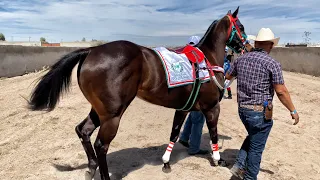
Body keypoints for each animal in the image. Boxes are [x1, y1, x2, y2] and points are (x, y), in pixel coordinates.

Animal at [28, 6, 248, 179]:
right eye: (242, 27)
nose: (248, 47)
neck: (206, 60)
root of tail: (90, 51)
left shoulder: (183, 109)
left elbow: (174, 133)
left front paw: (166, 163)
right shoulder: (212, 108)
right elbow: (214, 133)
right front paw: (218, 159)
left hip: (99, 111)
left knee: (83, 131)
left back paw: (91, 168)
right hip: (113, 115)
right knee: (101, 145)